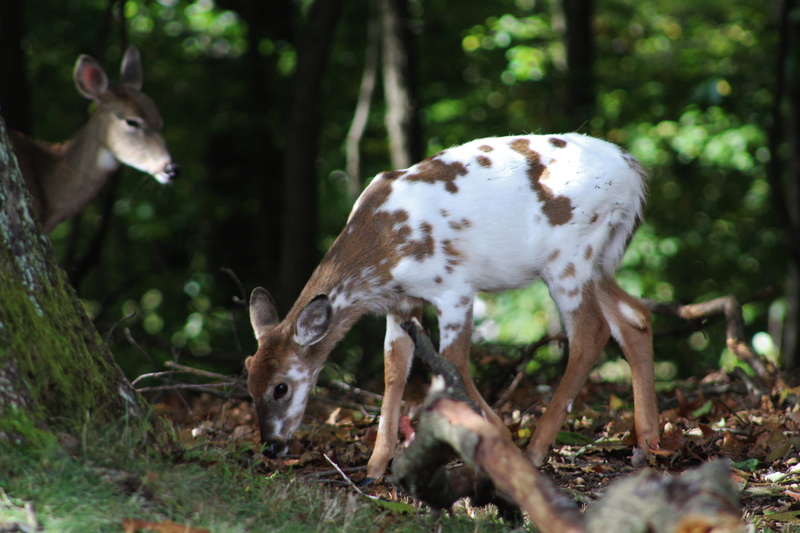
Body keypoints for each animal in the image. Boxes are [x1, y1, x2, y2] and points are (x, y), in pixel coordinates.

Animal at [246, 133, 661, 482]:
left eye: (280, 388)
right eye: (248, 378)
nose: (270, 445)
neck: (382, 249)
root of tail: (633, 170)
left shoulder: (454, 289)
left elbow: (453, 364)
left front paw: (498, 439)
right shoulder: (402, 304)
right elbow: (394, 371)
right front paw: (375, 467)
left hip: (570, 257)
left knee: (591, 332)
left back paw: (535, 451)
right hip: (599, 261)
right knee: (635, 316)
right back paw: (647, 444)